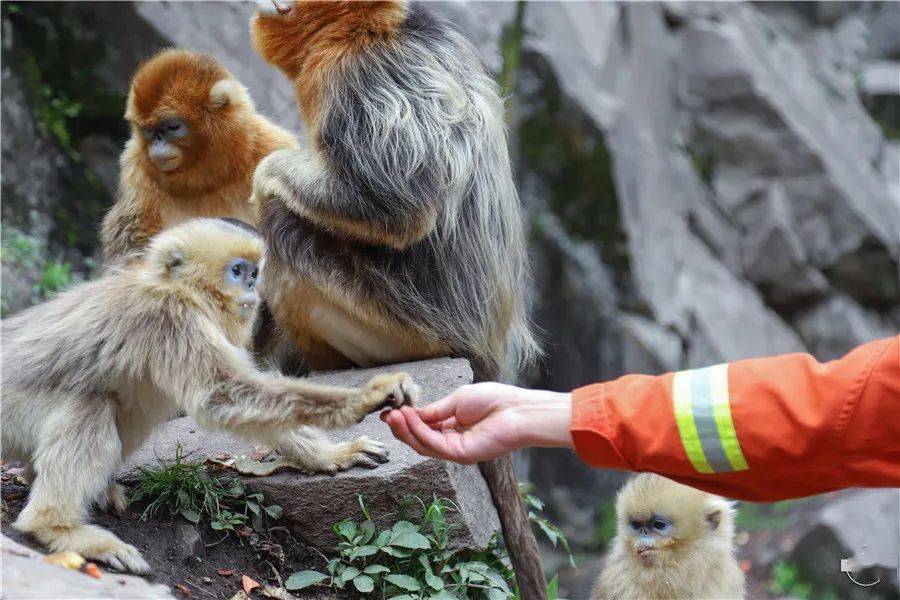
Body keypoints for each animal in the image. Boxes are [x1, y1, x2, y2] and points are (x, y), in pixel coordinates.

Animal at [0, 218, 418, 576]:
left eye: (254, 273)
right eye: (237, 271)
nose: (252, 288)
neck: (179, 290)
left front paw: (332, 454)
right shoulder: (171, 317)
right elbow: (224, 396)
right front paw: (367, 397)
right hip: (11, 414)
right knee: (93, 404)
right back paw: (56, 527)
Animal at [251, 3, 540, 596]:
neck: (367, 27)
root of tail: (483, 349)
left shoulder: (354, 76)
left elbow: (397, 204)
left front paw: (266, 170)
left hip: (394, 325)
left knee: (284, 226)